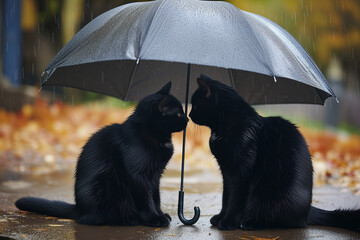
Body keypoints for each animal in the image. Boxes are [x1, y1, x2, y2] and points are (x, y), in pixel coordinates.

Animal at [15, 82, 187, 227]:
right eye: (179, 114)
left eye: (183, 112)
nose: (187, 119)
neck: (155, 136)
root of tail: (79, 209)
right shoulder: (139, 176)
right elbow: (146, 199)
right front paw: (154, 218)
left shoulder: (155, 176)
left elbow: (156, 197)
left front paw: (160, 214)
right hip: (108, 184)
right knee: (96, 218)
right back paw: (130, 220)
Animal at [190, 74, 358, 232]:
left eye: (195, 105)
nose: (189, 115)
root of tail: (307, 211)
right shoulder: (226, 172)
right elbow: (226, 196)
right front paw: (220, 217)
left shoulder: (240, 174)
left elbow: (235, 199)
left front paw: (228, 222)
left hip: (268, 196)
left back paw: (251, 223)